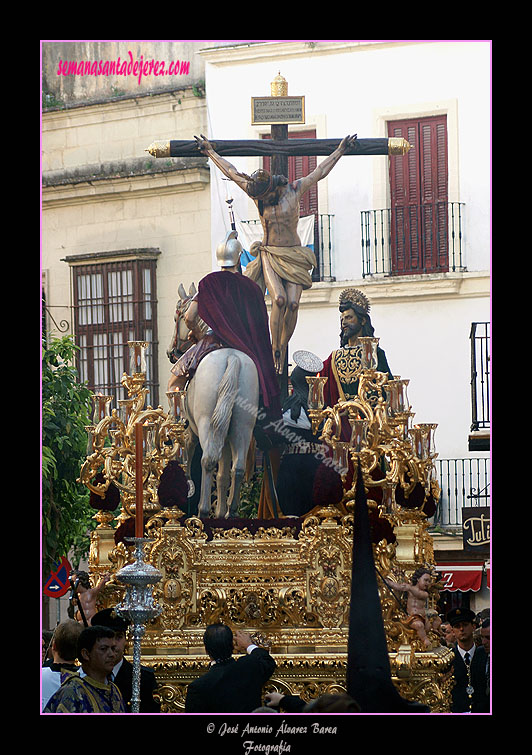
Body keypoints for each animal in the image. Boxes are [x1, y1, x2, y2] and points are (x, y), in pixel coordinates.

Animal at [170, 284, 260, 520]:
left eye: (177, 316)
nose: (171, 352)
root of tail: (232, 358)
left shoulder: (191, 429)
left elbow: (190, 451)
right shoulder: (226, 434)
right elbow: (223, 474)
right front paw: (220, 510)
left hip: (205, 423)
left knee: (208, 460)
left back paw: (202, 511)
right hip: (242, 426)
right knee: (237, 468)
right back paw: (230, 512)